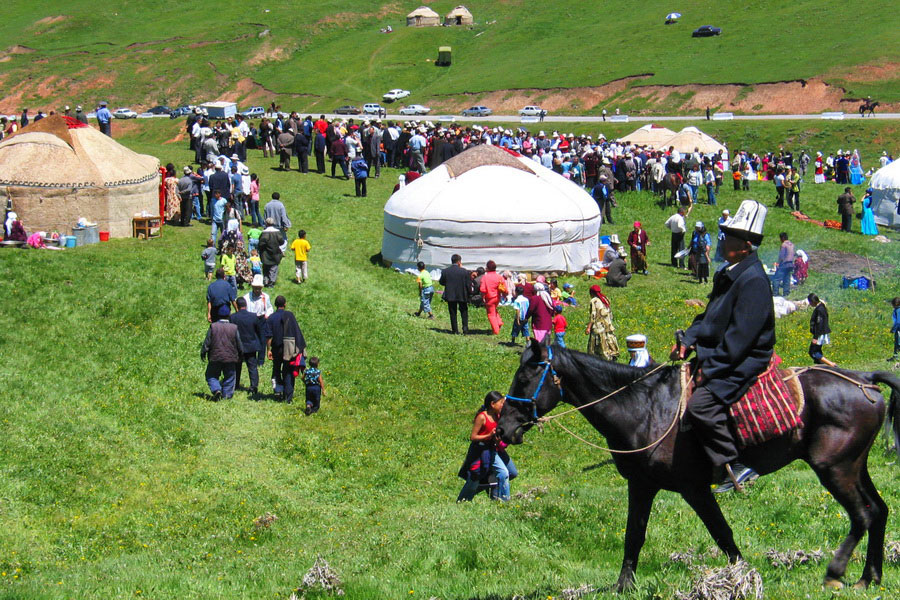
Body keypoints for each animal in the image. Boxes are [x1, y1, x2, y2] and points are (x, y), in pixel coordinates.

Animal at [500, 340, 900, 592]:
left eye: (525, 378)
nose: (503, 429)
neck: (645, 408)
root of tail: (865, 381)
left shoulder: (694, 489)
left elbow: (722, 534)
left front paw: (742, 579)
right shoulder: (641, 485)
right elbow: (634, 535)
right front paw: (623, 586)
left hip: (834, 468)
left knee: (862, 515)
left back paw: (837, 572)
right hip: (854, 465)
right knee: (879, 510)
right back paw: (869, 577)